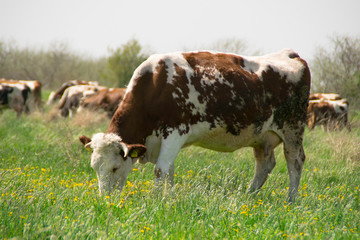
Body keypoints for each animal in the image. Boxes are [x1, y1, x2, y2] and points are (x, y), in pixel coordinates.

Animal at [79, 49, 310, 202]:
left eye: (115, 167)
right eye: (94, 167)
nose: (105, 200)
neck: (157, 84)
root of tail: (290, 54)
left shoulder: (174, 132)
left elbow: (160, 170)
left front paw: (156, 200)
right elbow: (169, 171)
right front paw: (169, 198)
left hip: (293, 129)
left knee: (295, 161)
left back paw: (291, 200)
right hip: (261, 136)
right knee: (265, 164)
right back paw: (249, 195)